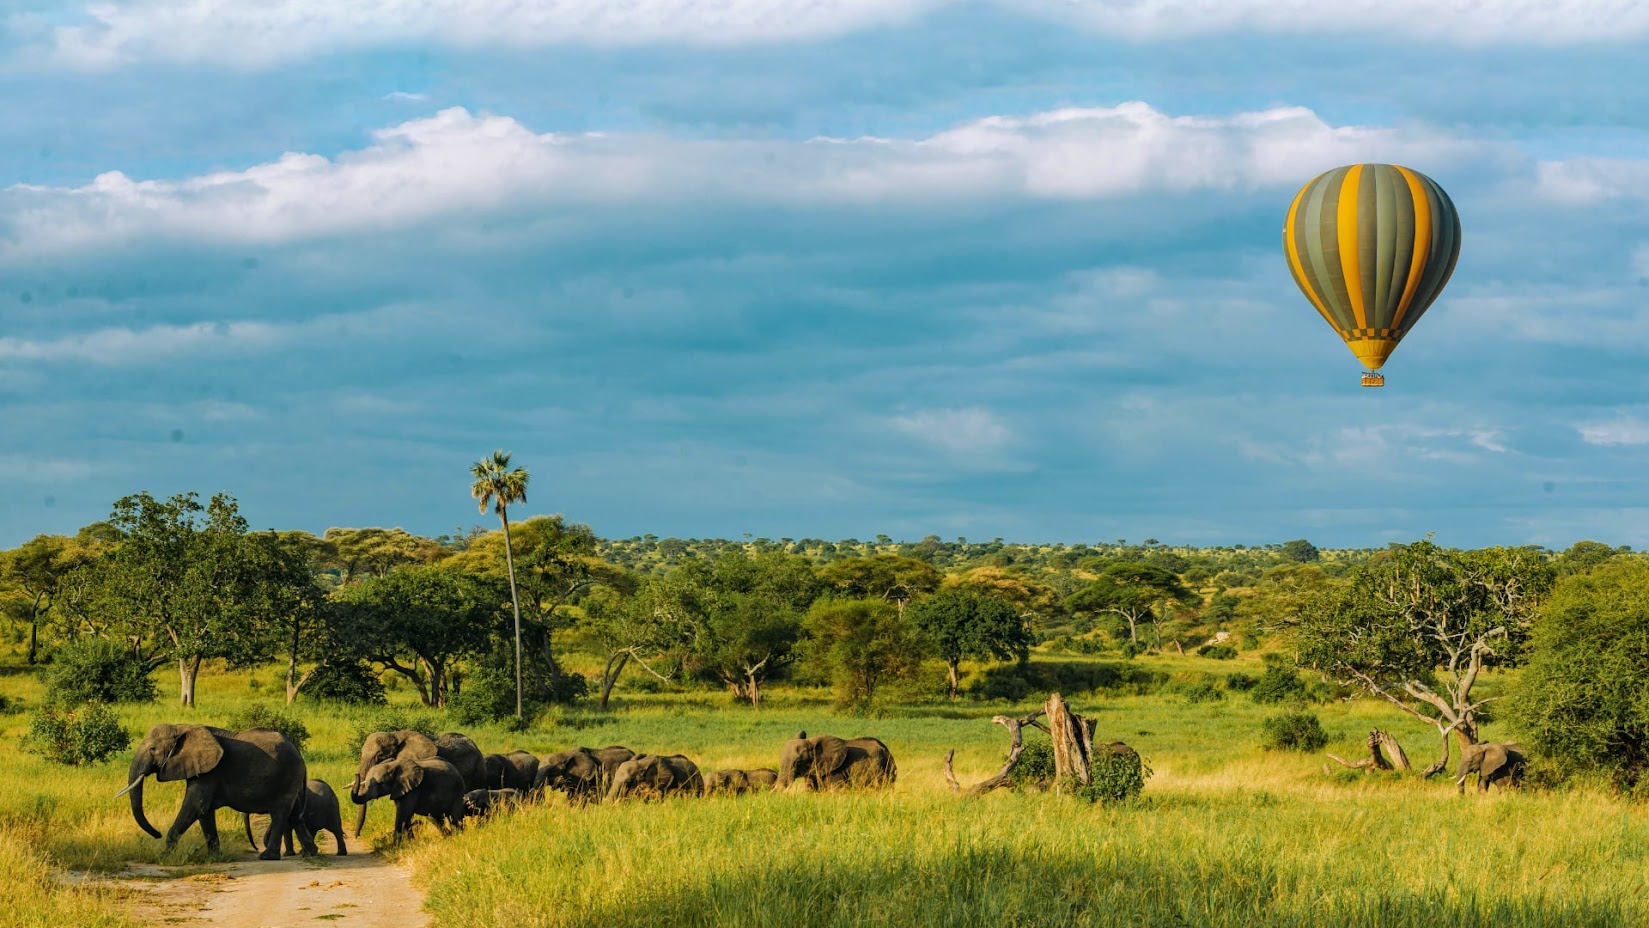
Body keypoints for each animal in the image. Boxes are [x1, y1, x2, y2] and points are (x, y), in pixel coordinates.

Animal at [119, 725, 314, 863]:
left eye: (153, 749)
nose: (157, 834)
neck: (182, 728)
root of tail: (300, 755)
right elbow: (204, 812)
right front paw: (215, 857)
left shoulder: (211, 772)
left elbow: (196, 805)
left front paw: (163, 857)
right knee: (295, 815)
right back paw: (310, 853)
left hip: (287, 776)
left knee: (280, 814)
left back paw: (267, 857)